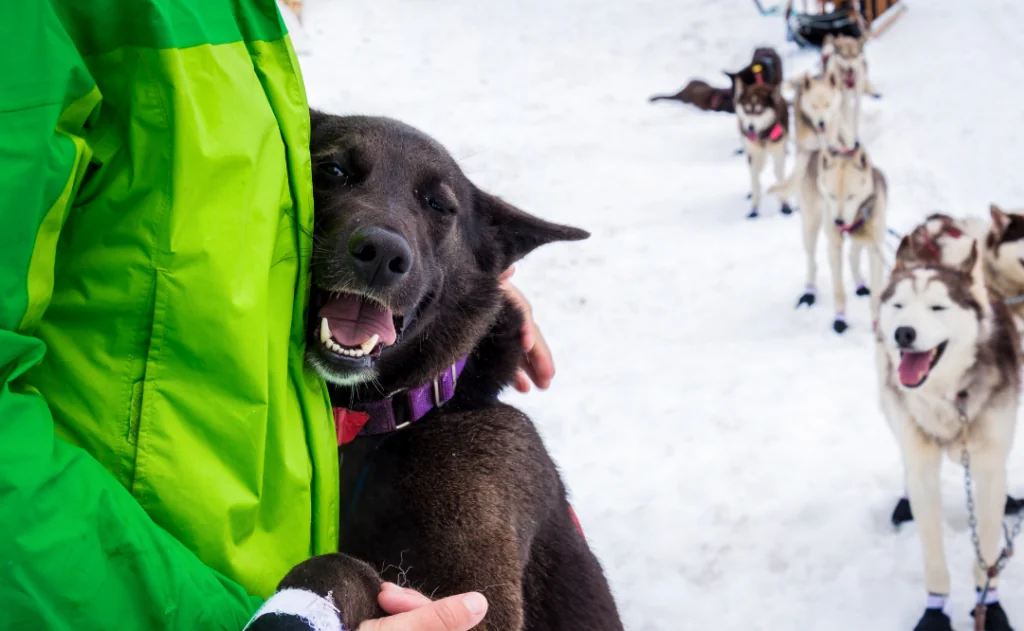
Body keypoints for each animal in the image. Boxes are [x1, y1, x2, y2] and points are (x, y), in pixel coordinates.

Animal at [251, 113, 626, 631]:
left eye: (439, 205)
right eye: (331, 170)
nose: (382, 253)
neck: (375, 423)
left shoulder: (478, 592)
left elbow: (336, 565)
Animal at [737, 78, 790, 219]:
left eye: (759, 111)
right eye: (746, 110)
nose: (750, 127)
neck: (763, 137)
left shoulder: (779, 152)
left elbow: (779, 175)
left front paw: (785, 205)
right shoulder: (753, 154)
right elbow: (755, 180)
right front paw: (754, 209)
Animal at [876, 237, 1019, 631]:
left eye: (937, 307)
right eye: (899, 305)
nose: (903, 333)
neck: (949, 396)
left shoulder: (988, 469)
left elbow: (987, 554)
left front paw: (990, 605)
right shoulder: (923, 465)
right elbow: (934, 557)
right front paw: (935, 611)